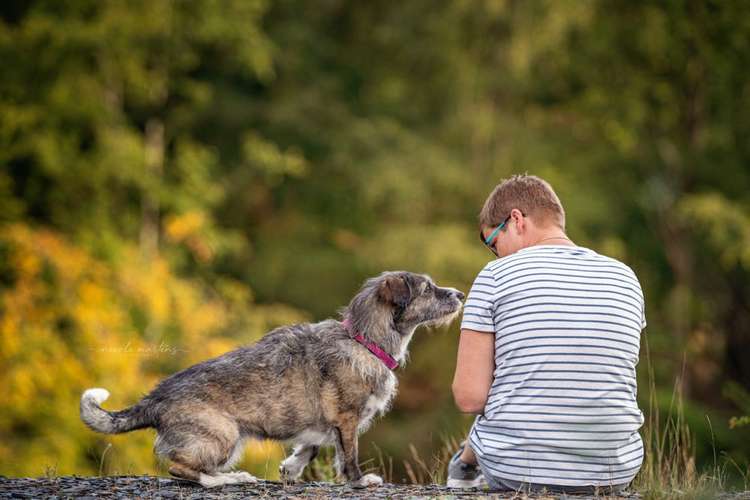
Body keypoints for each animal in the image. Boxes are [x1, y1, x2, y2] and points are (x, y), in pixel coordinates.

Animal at [78, 272, 464, 486]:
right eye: (427, 289)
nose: (460, 293)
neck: (363, 340)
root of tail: (155, 399)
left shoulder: (324, 421)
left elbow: (312, 446)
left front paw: (290, 469)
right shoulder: (347, 418)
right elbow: (348, 455)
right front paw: (359, 482)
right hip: (224, 434)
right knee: (181, 468)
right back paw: (225, 481)